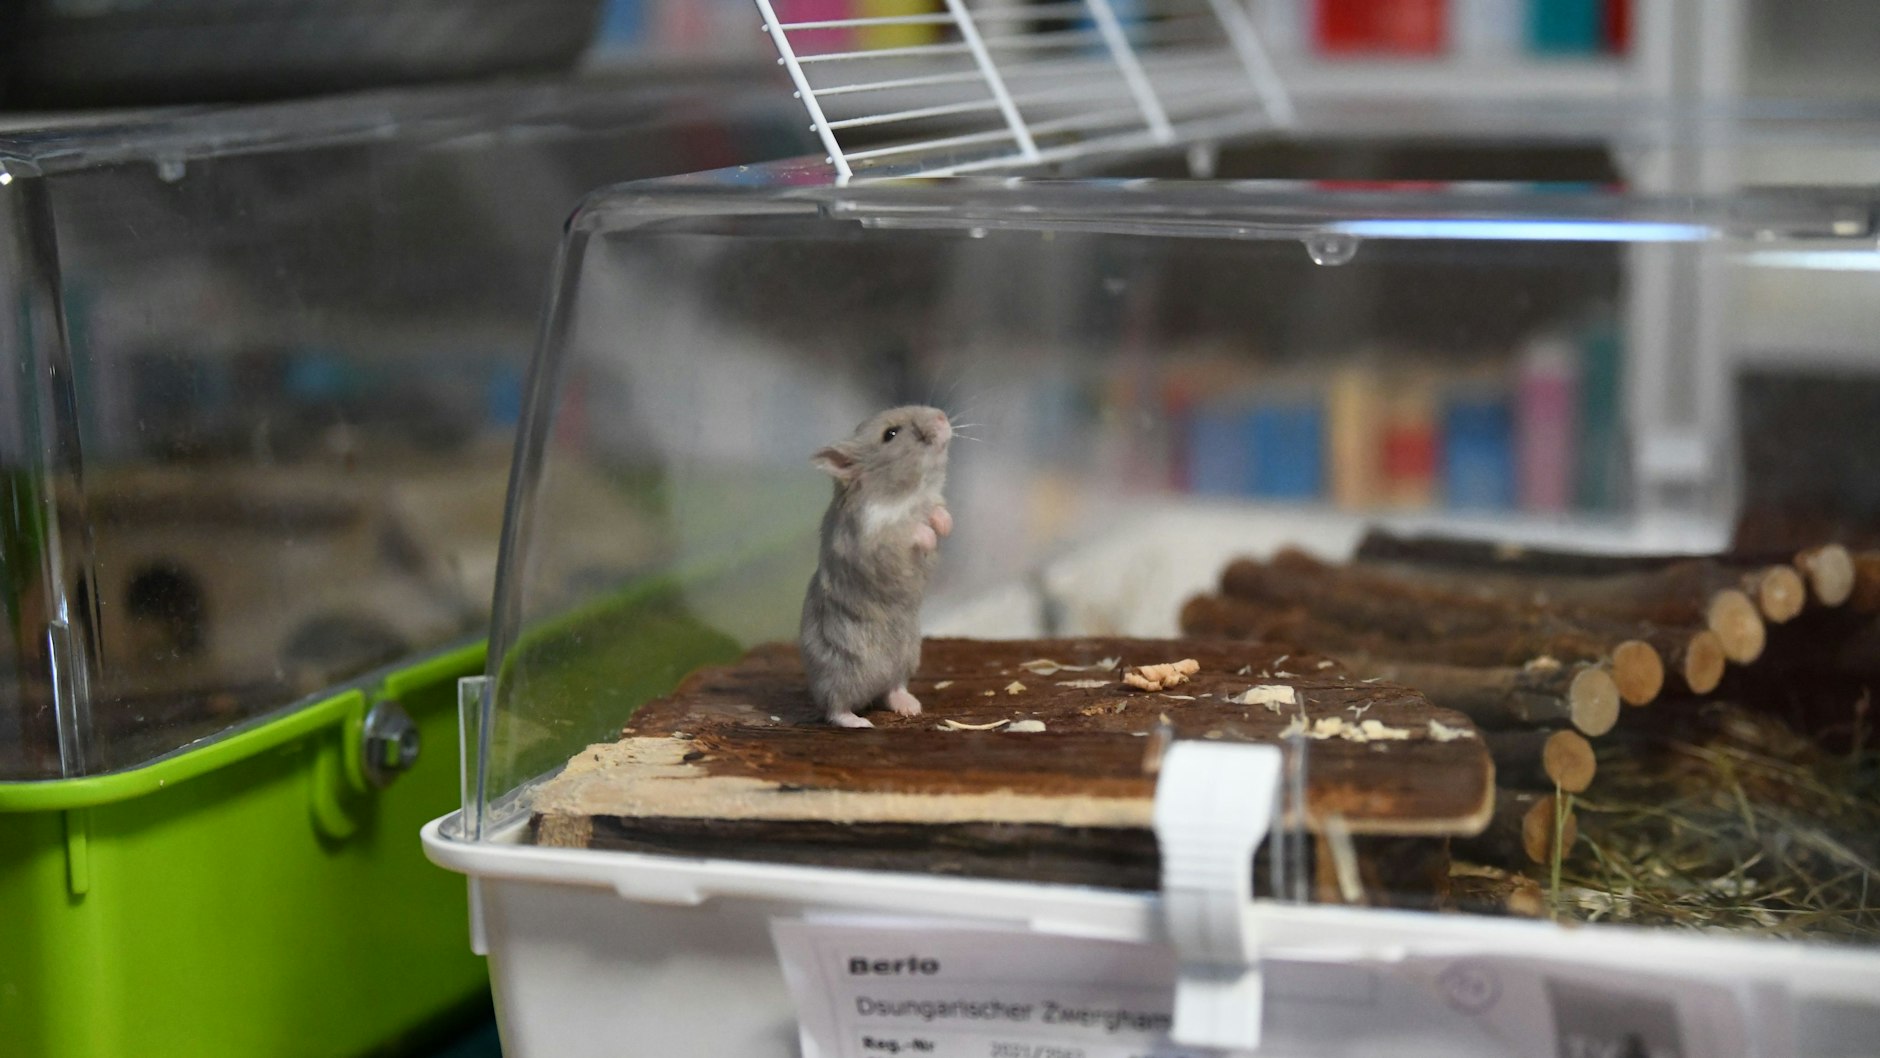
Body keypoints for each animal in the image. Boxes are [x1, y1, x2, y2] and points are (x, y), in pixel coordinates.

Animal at [800, 405, 954, 728]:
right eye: (890, 434)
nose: (942, 416)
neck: (907, 494)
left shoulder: (931, 502)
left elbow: (938, 513)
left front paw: (943, 527)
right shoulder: (872, 540)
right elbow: (906, 532)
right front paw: (928, 537)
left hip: (907, 658)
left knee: (892, 689)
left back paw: (911, 706)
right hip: (841, 673)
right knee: (835, 709)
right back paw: (860, 722)